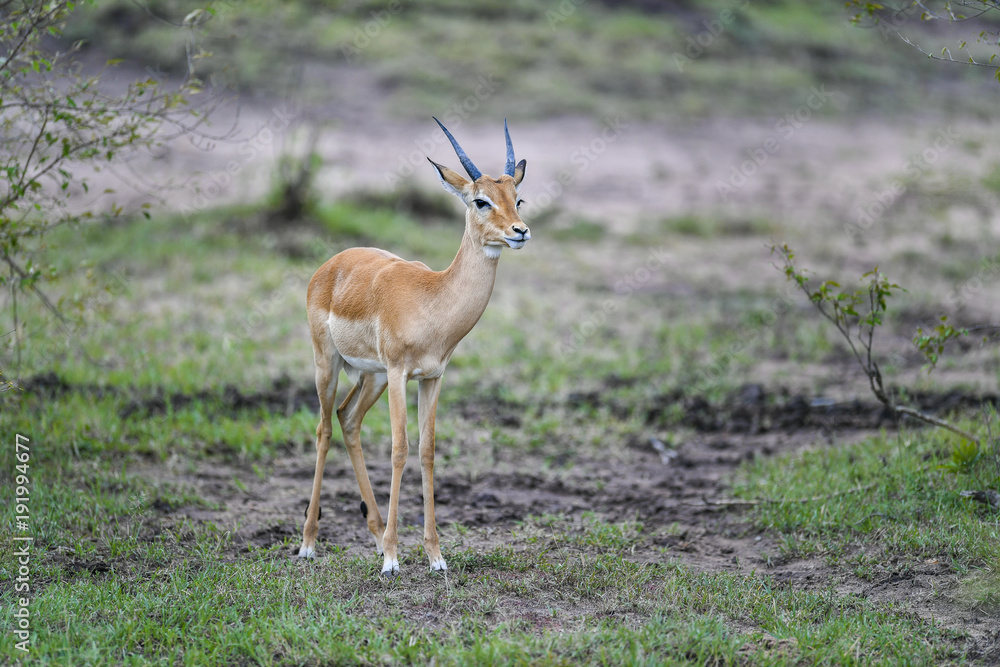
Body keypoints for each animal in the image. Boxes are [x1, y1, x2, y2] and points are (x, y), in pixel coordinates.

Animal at [298, 119, 529, 576]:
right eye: (480, 201)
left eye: (518, 198)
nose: (520, 231)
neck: (432, 298)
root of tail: (331, 265)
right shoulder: (400, 373)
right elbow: (399, 449)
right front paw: (392, 558)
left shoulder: (432, 378)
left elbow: (427, 451)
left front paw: (435, 555)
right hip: (329, 365)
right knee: (324, 429)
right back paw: (310, 543)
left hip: (371, 377)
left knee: (348, 419)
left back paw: (372, 532)